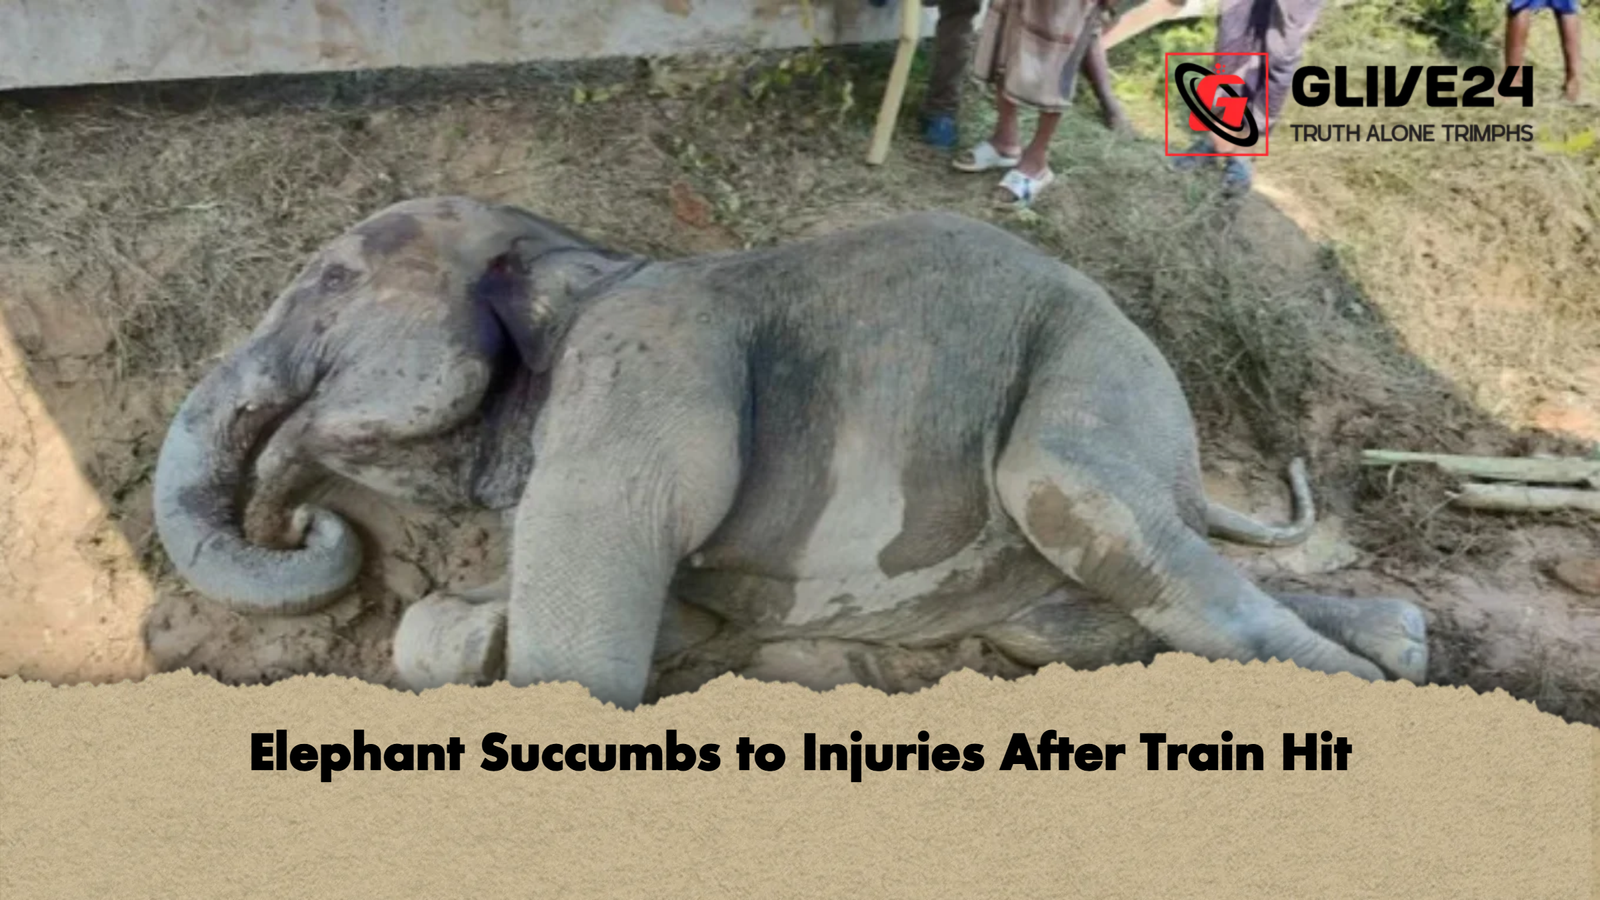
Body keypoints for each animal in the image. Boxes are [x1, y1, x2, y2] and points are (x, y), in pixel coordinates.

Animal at [152, 196, 1428, 710]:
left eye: (326, 284)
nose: (295, 517)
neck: (586, 259)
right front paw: (474, 633)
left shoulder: (642, 379)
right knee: (1083, 619)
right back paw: (1402, 642)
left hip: (1101, 377)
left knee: (1070, 495)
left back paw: (1376, 686)